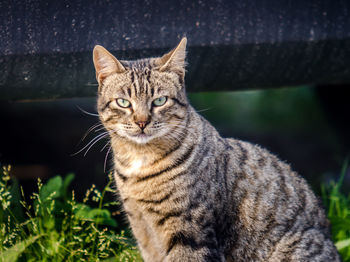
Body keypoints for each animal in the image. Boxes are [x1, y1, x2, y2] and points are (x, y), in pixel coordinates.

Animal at [91, 37, 340, 260]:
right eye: (124, 102)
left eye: (160, 101)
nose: (142, 122)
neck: (140, 160)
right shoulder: (142, 230)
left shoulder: (190, 232)